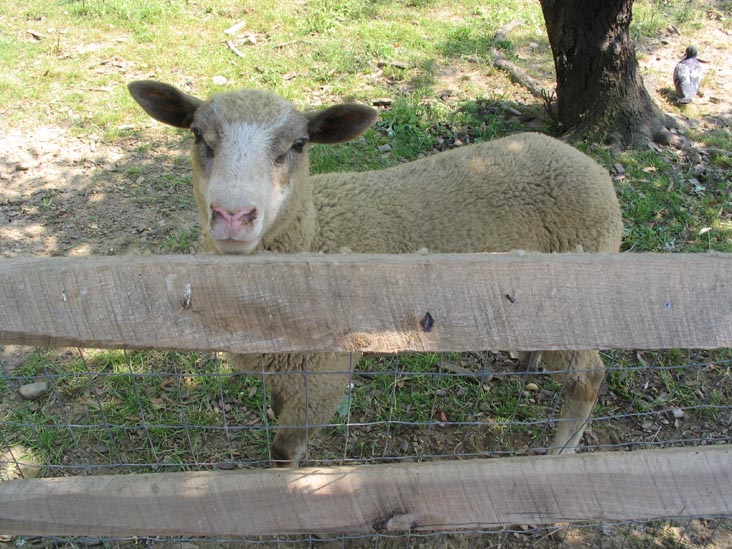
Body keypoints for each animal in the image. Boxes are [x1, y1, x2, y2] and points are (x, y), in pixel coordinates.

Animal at [128, 80, 624, 466]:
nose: (233, 216)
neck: (318, 235)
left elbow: (285, 452)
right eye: (198, 135)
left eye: (298, 145)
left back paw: (560, 452)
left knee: (587, 378)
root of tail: (589, 167)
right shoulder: (283, 372)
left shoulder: (322, 376)